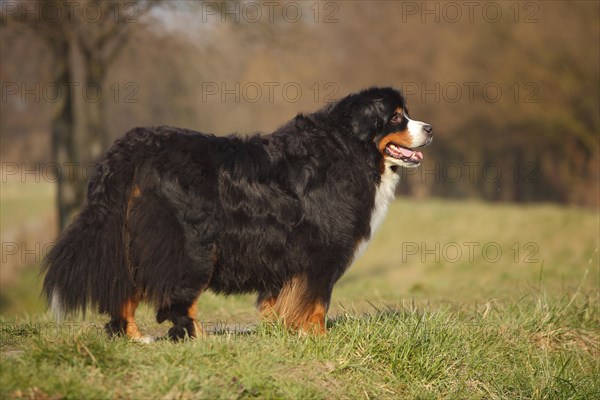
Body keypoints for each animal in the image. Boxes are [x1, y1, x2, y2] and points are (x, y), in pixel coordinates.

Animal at [44, 86, 434, 340]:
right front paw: (318, 338)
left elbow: (283, 298)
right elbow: (317, 302)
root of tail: (129, 148)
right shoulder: (322, 252)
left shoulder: (285, 254)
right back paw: (195, 336)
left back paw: (134, 336)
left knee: (126, 289)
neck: (348, 148)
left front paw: (279, 330)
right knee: (176, 297)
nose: (429, 128)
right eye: (396, 117)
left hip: (138, 240)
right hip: (191, 243)